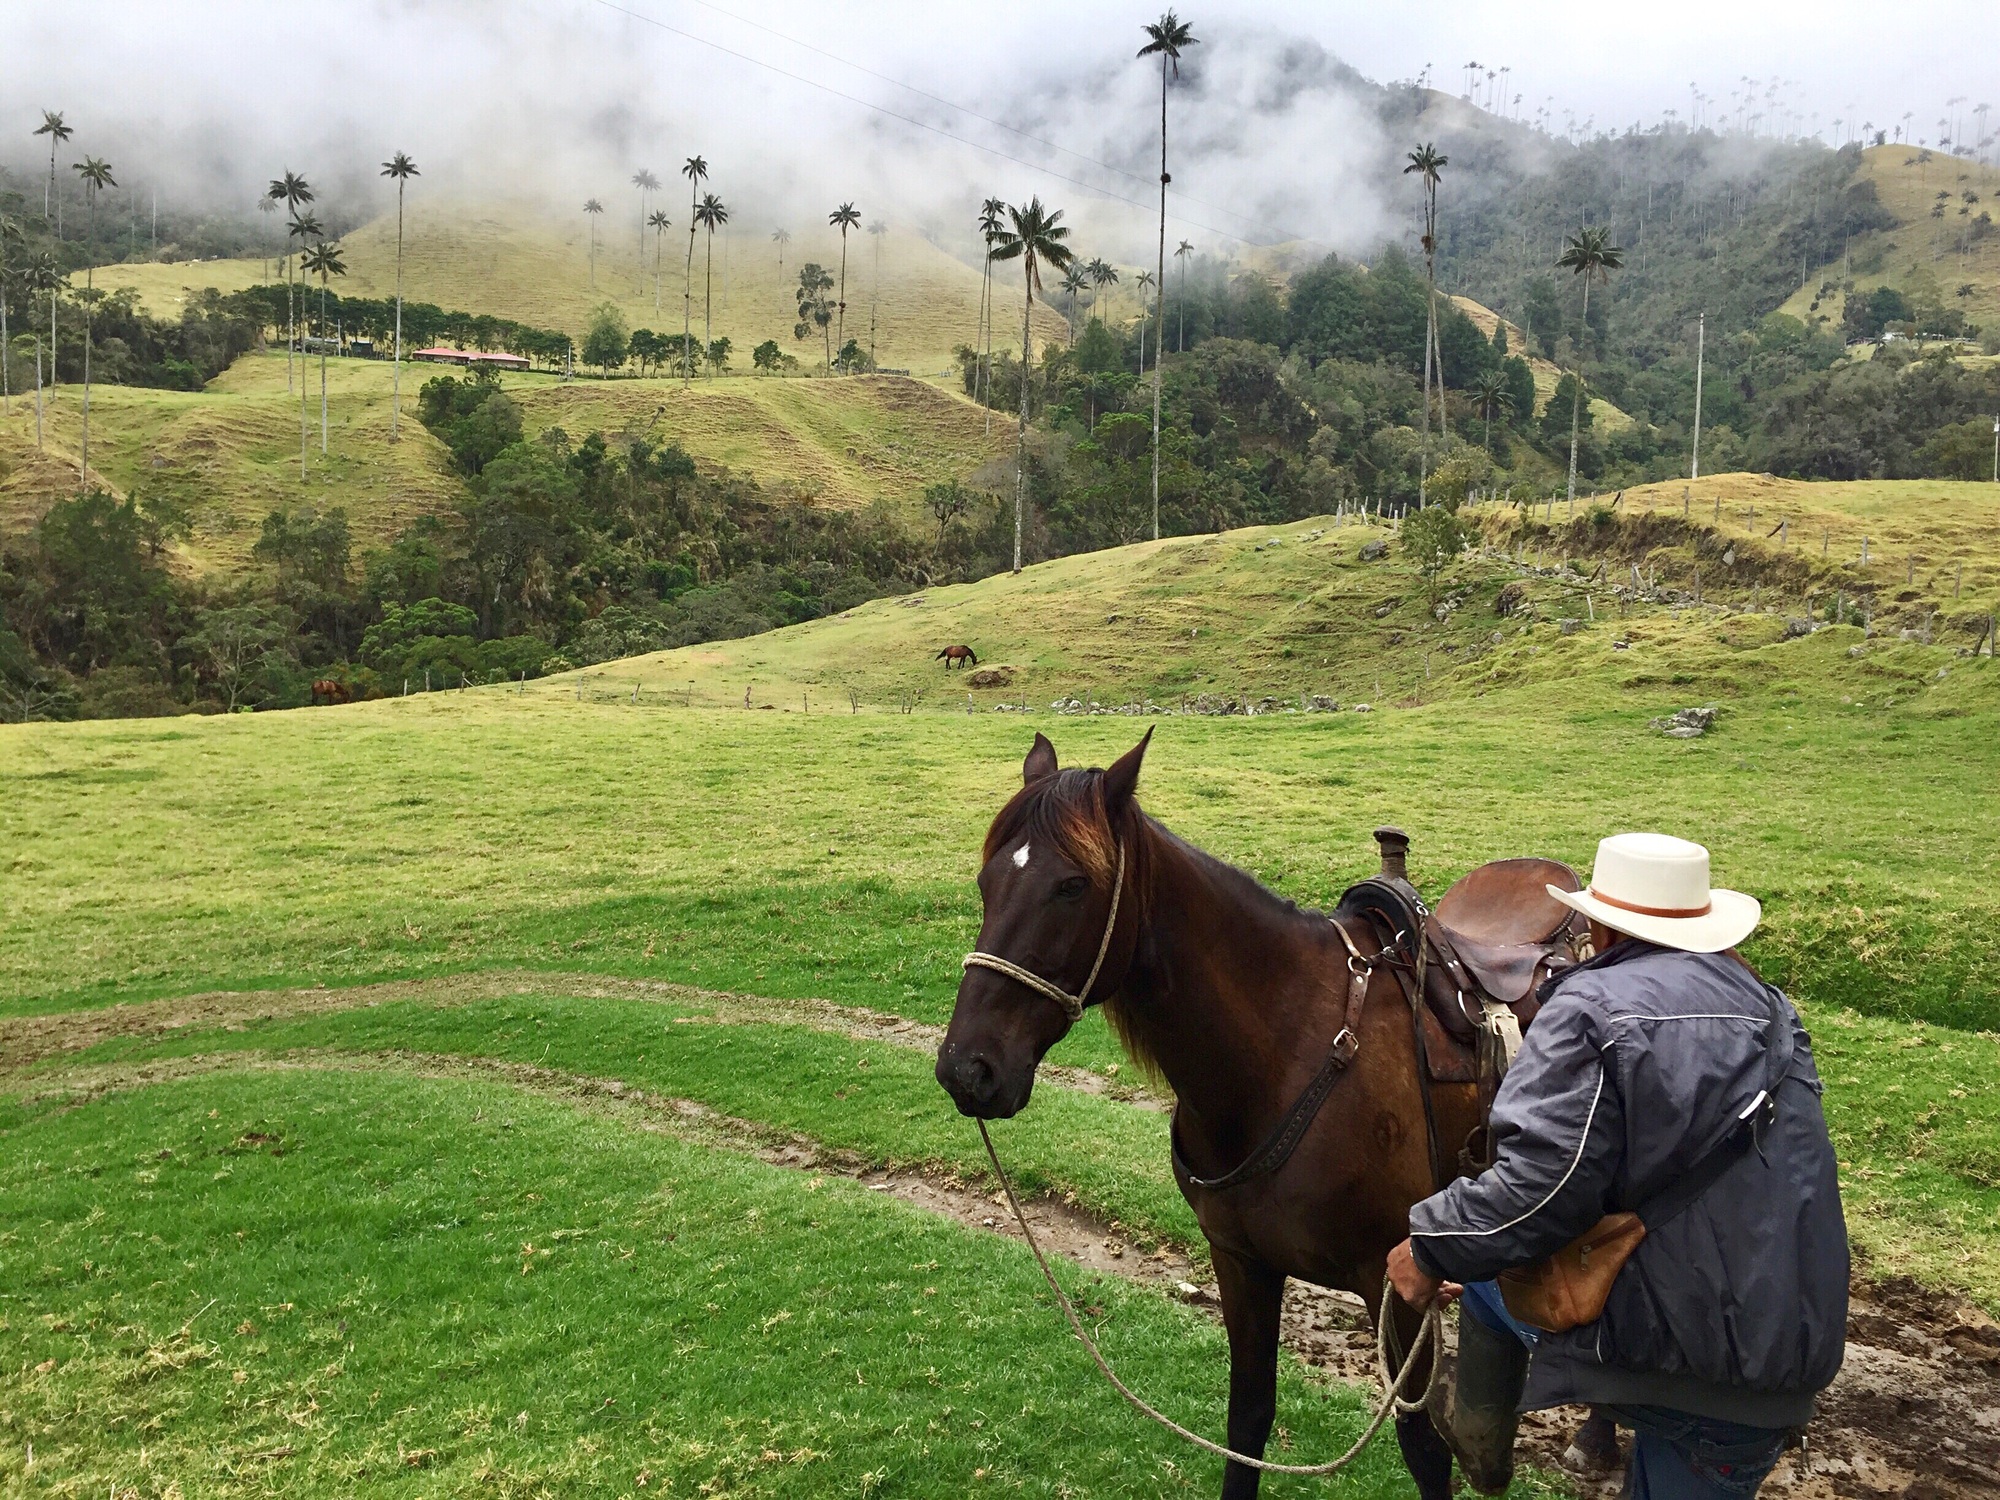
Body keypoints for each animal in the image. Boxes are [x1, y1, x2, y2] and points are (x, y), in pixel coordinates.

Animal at [936, 732, 1472, 1500]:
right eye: (986, 885)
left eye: (1072, 886)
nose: (966, 1069)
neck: (1288, 1052)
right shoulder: (1241, 1262)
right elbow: (1247, 1420)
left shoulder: (1395, 1285)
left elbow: (1425, 1447)